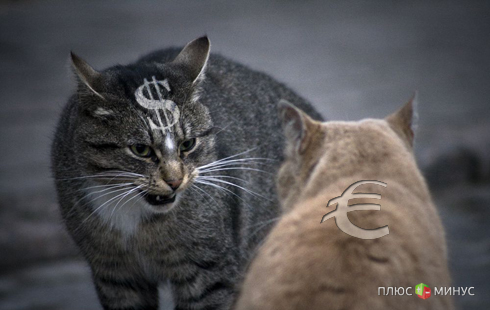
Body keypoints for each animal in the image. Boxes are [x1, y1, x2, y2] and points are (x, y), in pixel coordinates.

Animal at [51, 37, 324, 310]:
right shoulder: (115, 275)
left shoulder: (210, 272)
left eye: (188, 144)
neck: (134, 216)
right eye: (140, 149)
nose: (175, 180)